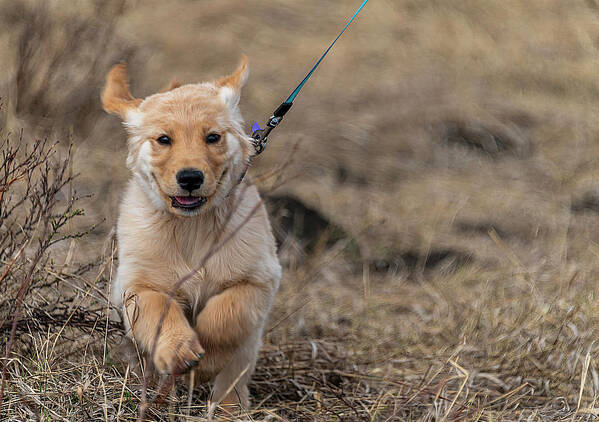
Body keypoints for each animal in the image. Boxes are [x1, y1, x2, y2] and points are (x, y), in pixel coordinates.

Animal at [101, 56, 282, 408]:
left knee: (233, 382)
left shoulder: (258, 279)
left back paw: (230, 409)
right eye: (163, 139)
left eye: (212, 137)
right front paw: (179, 351)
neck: (192, 225)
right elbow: (159, 310)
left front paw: (207, 361)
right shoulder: (136, 285)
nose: (190, 178)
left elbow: (226, 315)